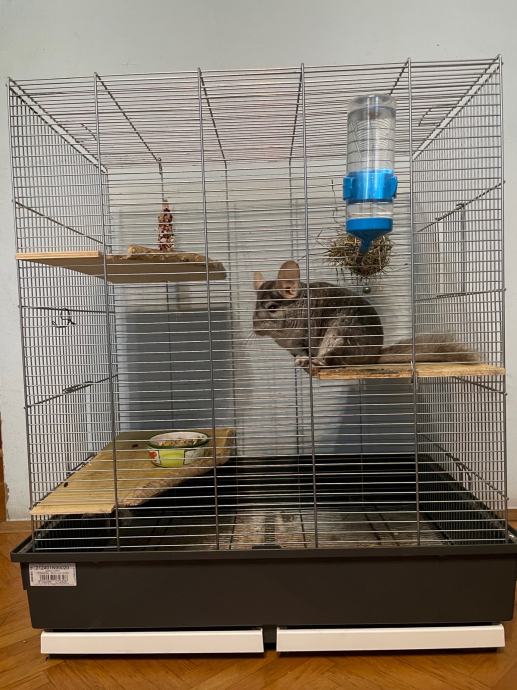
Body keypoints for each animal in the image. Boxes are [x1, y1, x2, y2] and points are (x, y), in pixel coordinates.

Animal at [253, 260, 479, 374]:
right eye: (254, 307)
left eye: (272, 307)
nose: (254, 329)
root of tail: (373, 355)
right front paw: (299, 360)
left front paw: (306, 360)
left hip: (338, 333)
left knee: (334, 360)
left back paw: (314, 362)